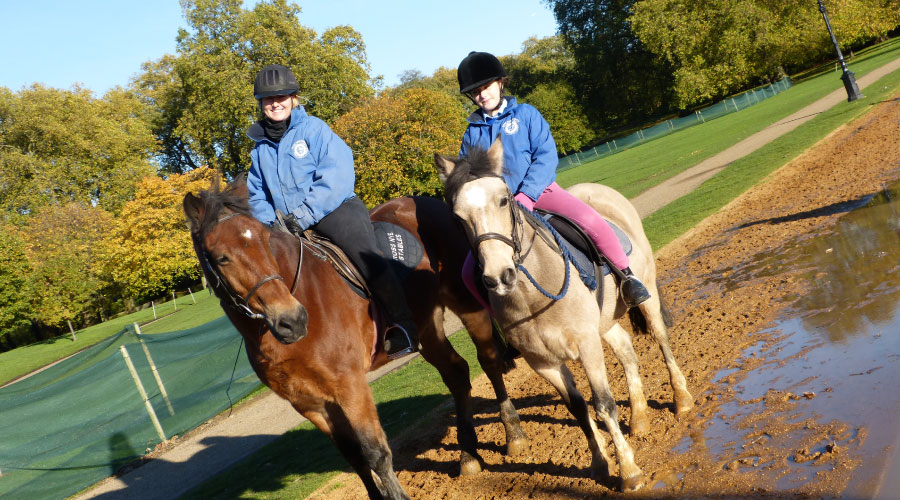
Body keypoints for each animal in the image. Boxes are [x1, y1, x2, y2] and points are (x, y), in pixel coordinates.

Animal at [182, 176, 529, 500]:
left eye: (266, 242)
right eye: (221, 257)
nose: (293, 320)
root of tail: (425, 202)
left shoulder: (349, 386)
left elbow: (375, 453)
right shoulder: (308, 403)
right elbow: (355, 458)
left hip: (467, 305)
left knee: (489, 361)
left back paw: (513, 434)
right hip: (427, 329)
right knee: (457, 373)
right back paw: (468, 455)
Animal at [434, 138, 694, 492]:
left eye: (503, 199)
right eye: (458, 217)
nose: (498, 276)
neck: (533, 295)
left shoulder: (586, 346)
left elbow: (603, 404)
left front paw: (628, 471)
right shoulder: (543, 362)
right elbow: (578, 408)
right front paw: (600, 463)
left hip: (646, 295)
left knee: (661, 340)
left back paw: (682, 400)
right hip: (604, 323)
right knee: (627, 351)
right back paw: (639, 418)